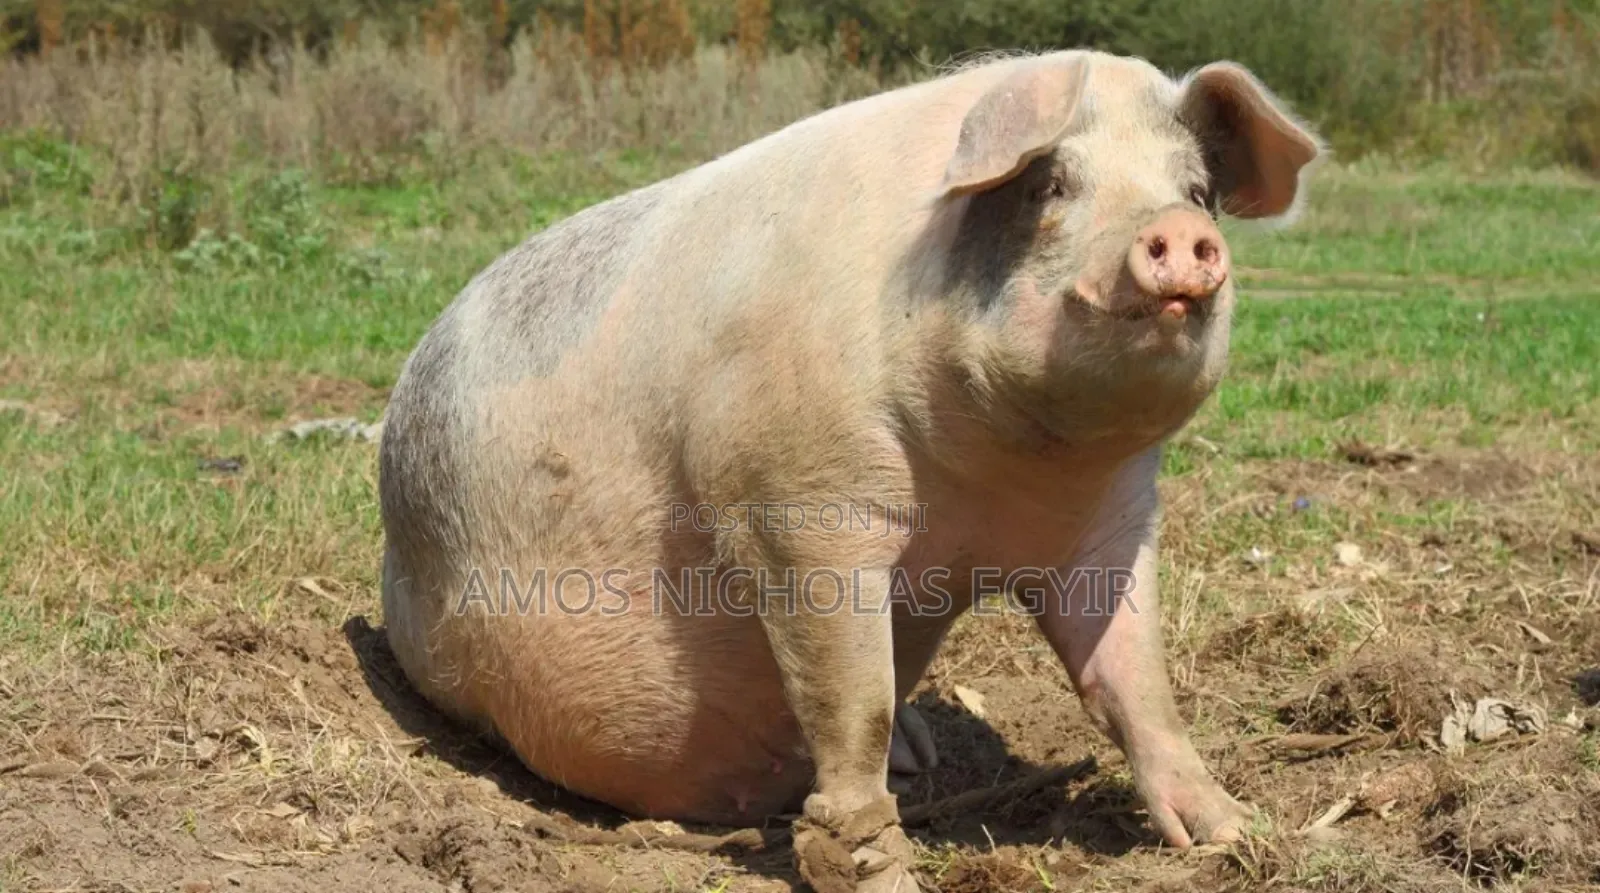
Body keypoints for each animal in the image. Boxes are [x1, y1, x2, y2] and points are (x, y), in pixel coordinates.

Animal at [379, 49, 1321, 893]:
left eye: (1196, 191)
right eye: (1051, 185)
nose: (1183, 232)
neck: (996, 484)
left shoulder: (1110, 520)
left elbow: (1137, 680)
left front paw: (1242, 837)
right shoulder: (793, 502)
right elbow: (851, 696)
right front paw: (880, 873)